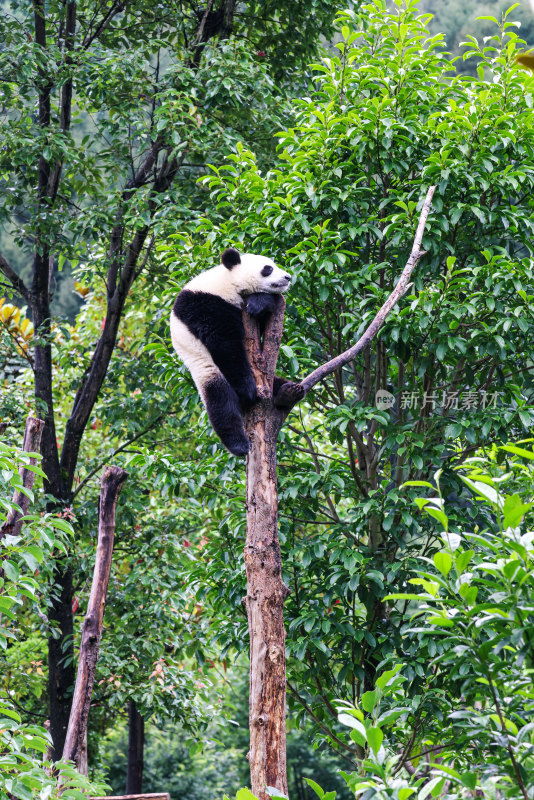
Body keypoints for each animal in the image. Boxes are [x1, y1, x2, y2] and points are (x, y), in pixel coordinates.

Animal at [172, 244, 306, 456]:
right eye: (268, 268)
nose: (287, 277)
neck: (228, 281)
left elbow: (262, 319)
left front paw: (259, 303)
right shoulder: (205, 305)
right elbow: (225, 345)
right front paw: (248, 390)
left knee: (275, 383)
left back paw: (288, 392)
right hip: (205, 367)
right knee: (221, 402)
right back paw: (239, 444)